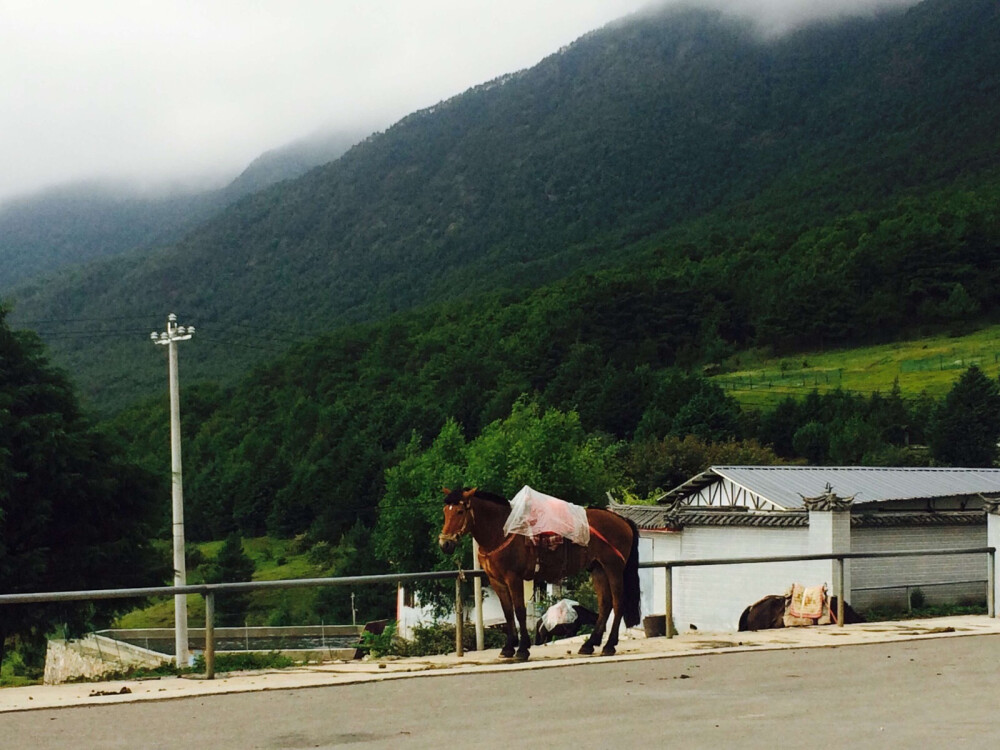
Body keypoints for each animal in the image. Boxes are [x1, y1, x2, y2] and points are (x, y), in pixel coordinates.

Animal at [438, 484, 640, 660]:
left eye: (460, 511)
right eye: (445, 511)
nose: (445, 543)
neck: (502, 530)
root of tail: (622, 520)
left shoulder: (514, 577)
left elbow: (519, 611)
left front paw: (522, 649)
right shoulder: (497, 580)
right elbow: (507, 612)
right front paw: (508, 647)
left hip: (613, 568)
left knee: (618, 603)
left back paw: (609, 645)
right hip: (598, 569)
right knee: (605, 604)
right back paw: (590, 644)